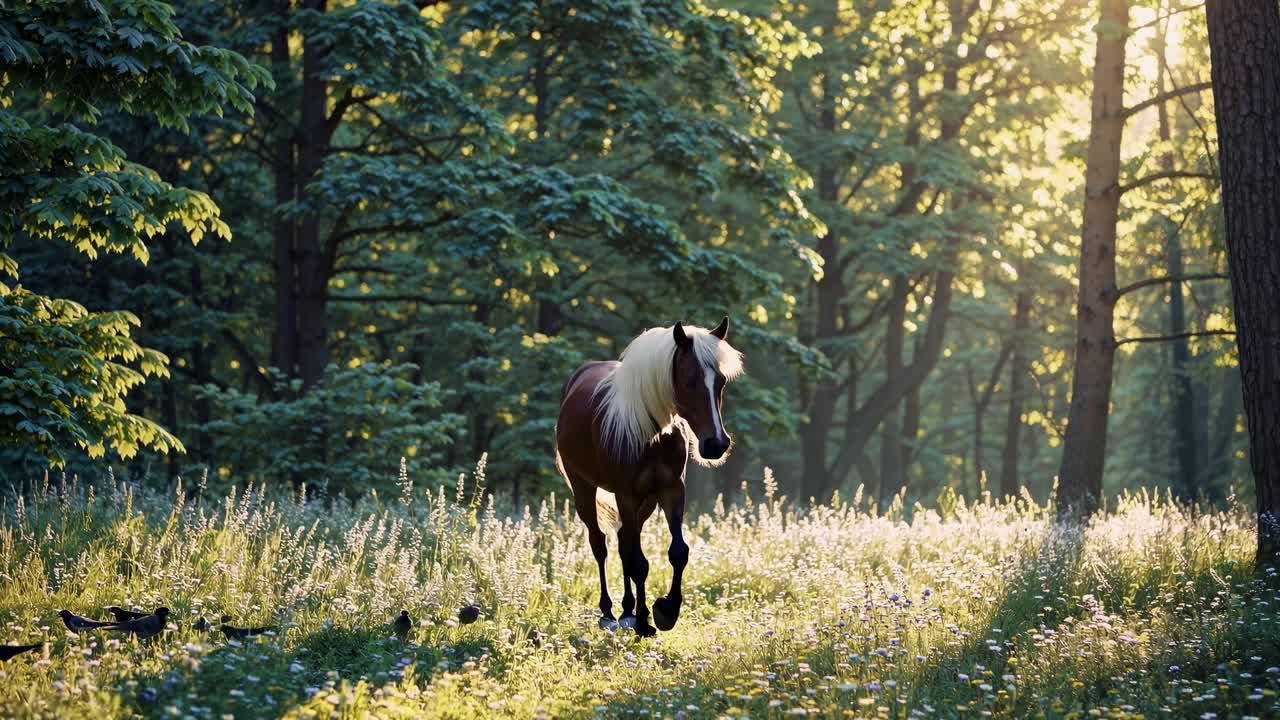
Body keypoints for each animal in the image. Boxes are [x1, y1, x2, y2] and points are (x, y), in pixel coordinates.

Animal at [555, 317, 742, 637]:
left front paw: (666, 611)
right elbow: (639, 563)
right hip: (584, 490)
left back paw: (627, 609)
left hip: (647, 502)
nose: (716, 444)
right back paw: (609, 612)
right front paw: (645, 621)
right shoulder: (626, 494)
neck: (652, 434)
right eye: (689, 380)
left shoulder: (671, 490)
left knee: (623, 542)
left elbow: (677, 552)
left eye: (721, 381)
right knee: (600, 545)